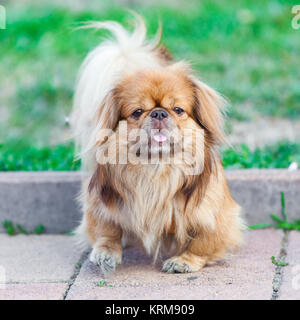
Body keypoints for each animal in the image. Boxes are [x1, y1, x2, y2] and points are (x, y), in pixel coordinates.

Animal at [71, 15, 245, 274]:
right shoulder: (100, 201)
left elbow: (204, 242)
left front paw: (184, 261)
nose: (159, 113)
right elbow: (106, 230)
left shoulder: (216, 213)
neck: (156, 169)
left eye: (178, 110)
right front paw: (106, 253)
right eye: (137, 112)